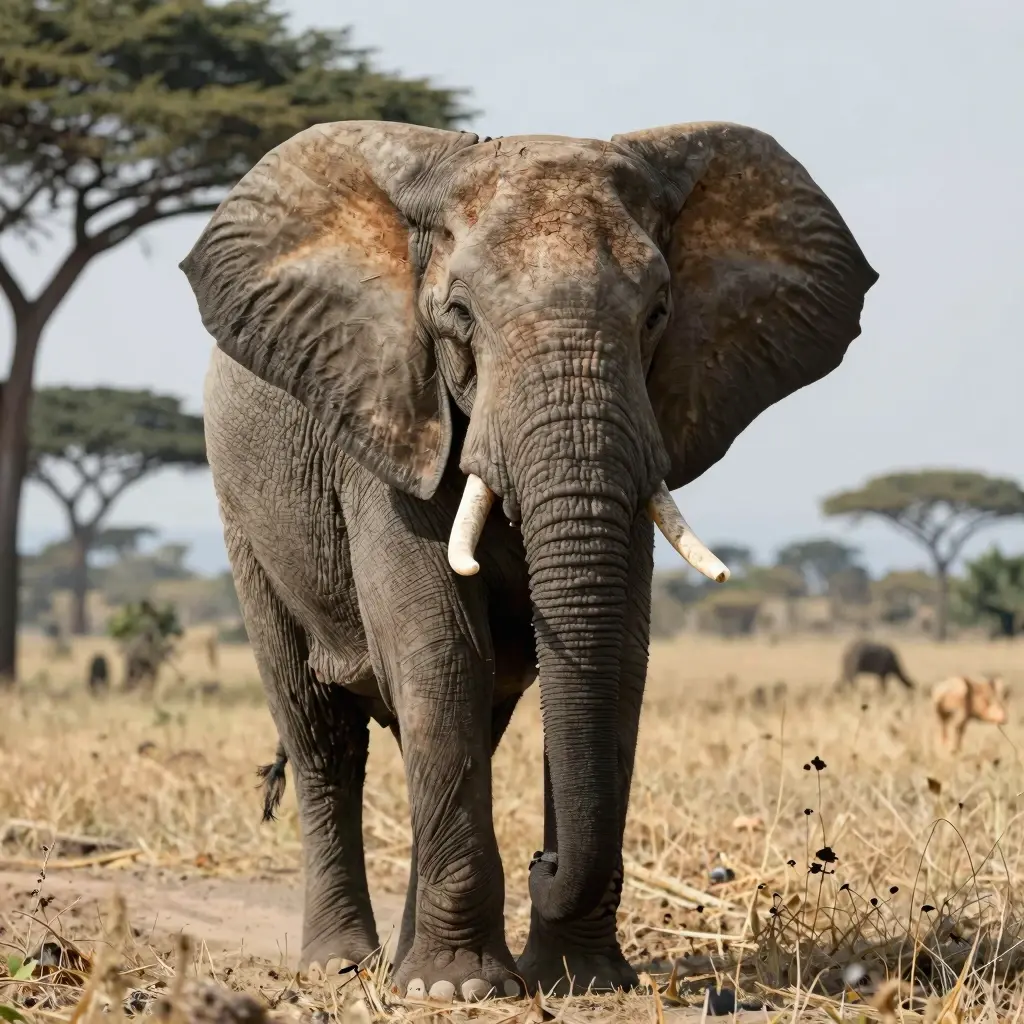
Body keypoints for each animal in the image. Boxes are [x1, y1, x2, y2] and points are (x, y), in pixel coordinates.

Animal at [180, 119, 876, 1000]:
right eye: (458, 316)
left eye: (657, 314)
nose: (545, 862)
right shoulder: (388, 421)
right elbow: (441, 649)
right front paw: (459, 991)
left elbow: (614, 660)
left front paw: (579, 980)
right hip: (244, 518)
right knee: (322, 734)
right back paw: (346, 965)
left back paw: (406, 963)